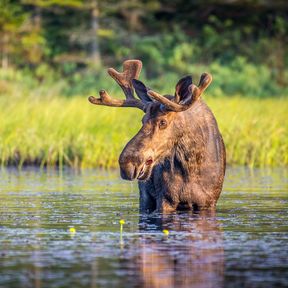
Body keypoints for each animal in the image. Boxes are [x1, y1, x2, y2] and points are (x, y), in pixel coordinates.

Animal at [89, 59, 226, 213]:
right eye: (142, 120)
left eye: (163, 122)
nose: (127, 163)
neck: (191, 164)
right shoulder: (165, 199)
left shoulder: (208, 202)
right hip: (145, 196)